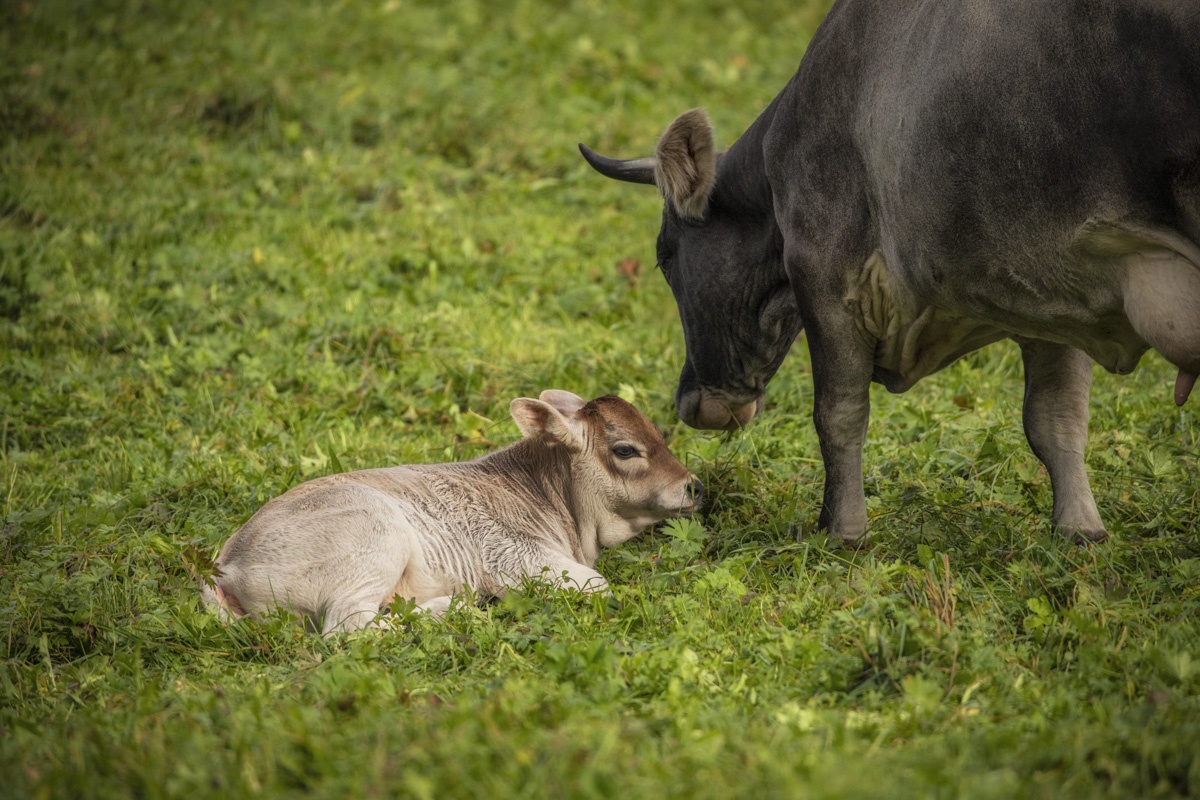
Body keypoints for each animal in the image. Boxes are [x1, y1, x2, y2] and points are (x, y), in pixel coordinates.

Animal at [201, 391, 702, 634]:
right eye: (625, 449)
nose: (693, 485)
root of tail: (224, 564)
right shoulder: (515, 557)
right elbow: (598, 585)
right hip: (374, 537)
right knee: (346, 629)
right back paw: (454, 607)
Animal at [580, 0, 1200, 544]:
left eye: (664, 256)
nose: (691, 401)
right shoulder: (1052, 288)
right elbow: (1057, 418)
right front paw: (1080, 529)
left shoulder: (827, 271)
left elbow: (839, 412)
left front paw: (842, 530)